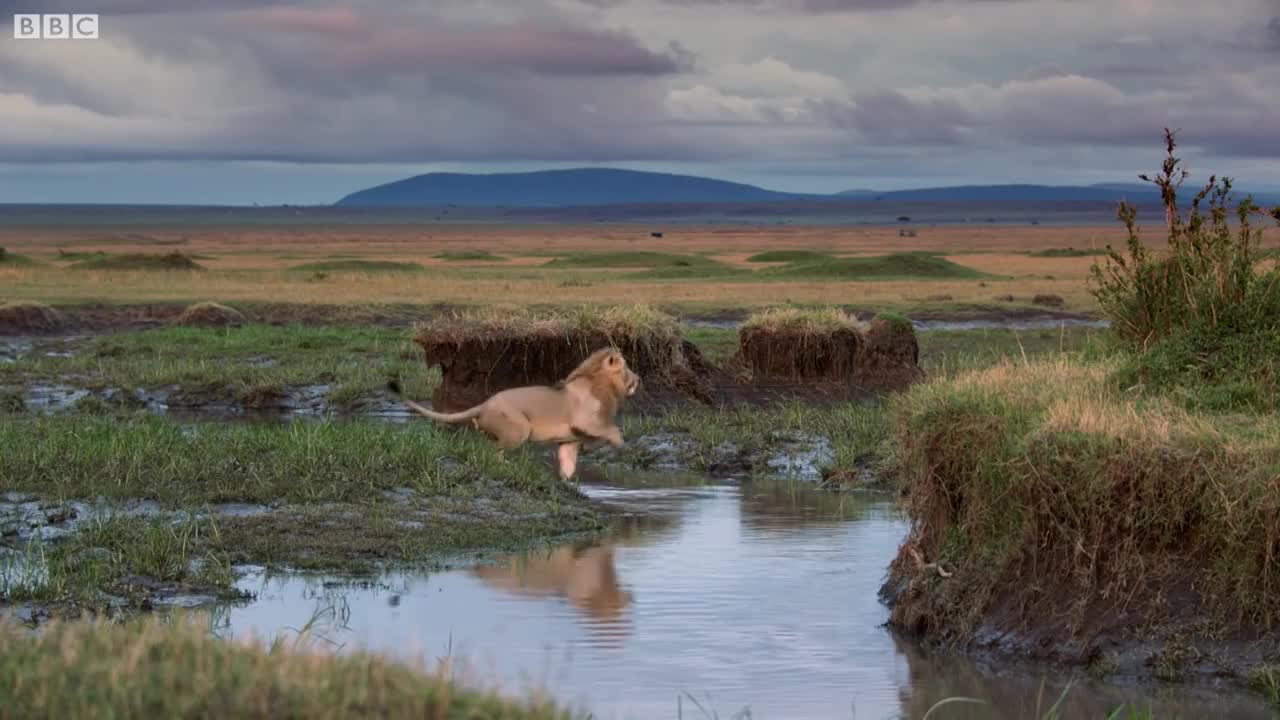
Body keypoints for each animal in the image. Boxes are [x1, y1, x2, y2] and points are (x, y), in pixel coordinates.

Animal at [391, 345, 637, 479]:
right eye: (627, 368)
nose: (638, 379)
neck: (604, 386)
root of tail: (484, 404)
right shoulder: (587, 422)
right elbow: (613, 430)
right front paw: (621, 446)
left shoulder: (569, 441)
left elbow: (568, 462)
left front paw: (567, 482)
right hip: (520, 428)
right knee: (491, 452)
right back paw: (505, 466)